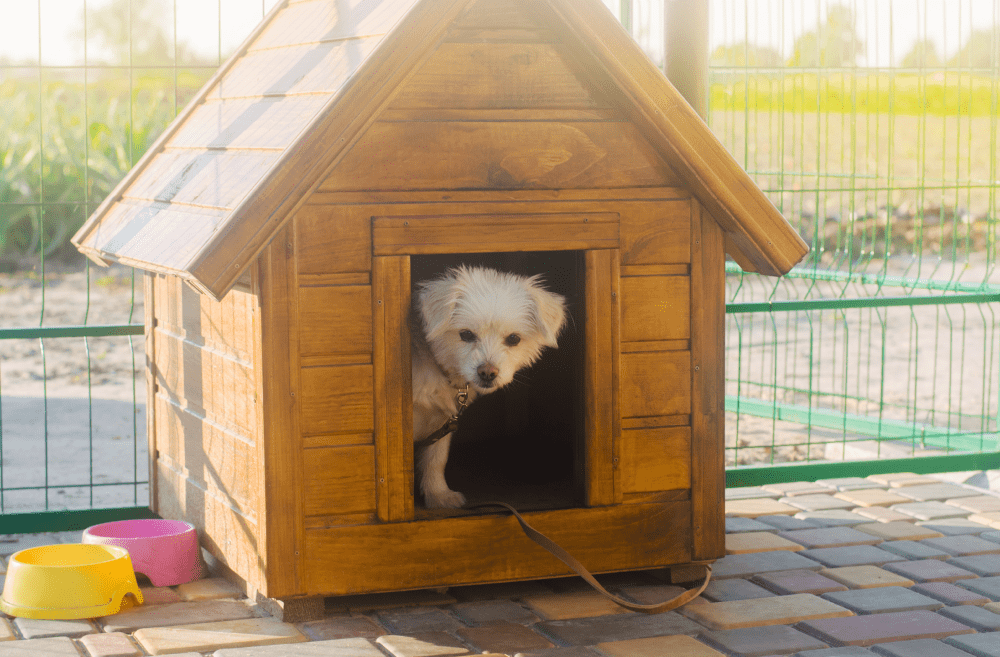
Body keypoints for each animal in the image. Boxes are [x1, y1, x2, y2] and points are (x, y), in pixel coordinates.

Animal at [410, 264, 568, 510]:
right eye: (466, 334)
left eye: (513, 339)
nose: (487, 373)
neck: (440, 369)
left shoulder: (443, 423)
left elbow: (435, 459)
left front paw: (439, 495)